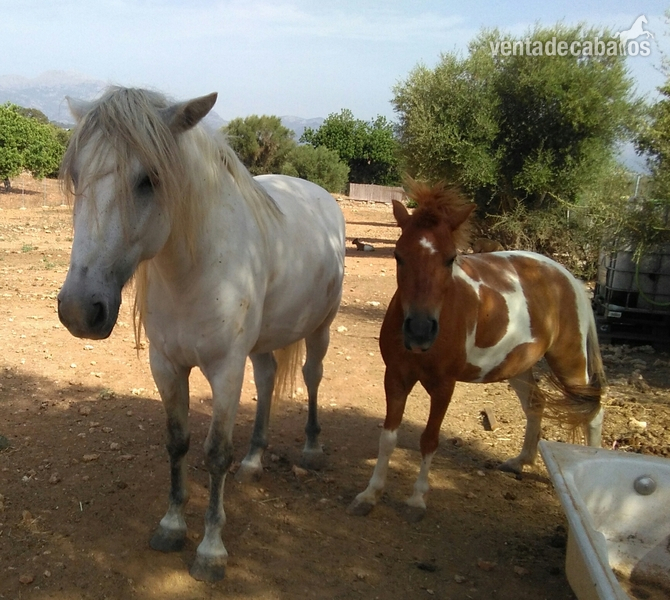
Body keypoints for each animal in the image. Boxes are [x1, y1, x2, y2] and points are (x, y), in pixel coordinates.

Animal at [56, 87, 346, 581]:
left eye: (150, 178)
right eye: (77, 176)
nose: (79, 310)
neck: (192, 271)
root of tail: (320, 195)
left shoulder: (225, 370)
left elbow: (215, 453)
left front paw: (211, 550)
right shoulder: (167, 366)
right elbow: (177, 442)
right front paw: (172, 526)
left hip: (320, 329)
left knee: (312, 377)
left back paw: (311, 448)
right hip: (263, 343)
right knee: (268, 378)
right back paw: (254, 460)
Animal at [348, 181, 605, 522]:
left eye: (450, 258)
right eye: (398, 256)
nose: (419, 330)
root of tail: (569, 279)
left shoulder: (444, 386)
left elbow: (429, 440)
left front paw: (417, 500)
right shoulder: (396, 378)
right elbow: (388, 437)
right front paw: (370, 494)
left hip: (571, 362)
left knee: (593, 413)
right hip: (519, 364)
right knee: (536, 404)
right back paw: (521, 461)